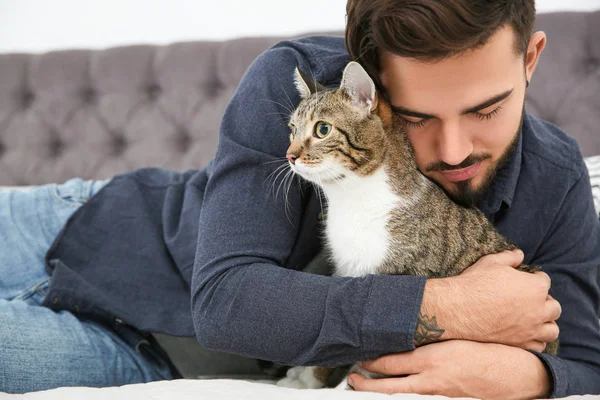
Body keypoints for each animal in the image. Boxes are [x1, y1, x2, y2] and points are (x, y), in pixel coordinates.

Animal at [276, 61, 556, 390]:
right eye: (292, 129)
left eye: (322, 129)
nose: (290, 155)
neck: (352, 200)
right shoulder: (348, 273)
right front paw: (310, 377)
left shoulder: (400, 278)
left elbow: (369, 358)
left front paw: (344, 388)